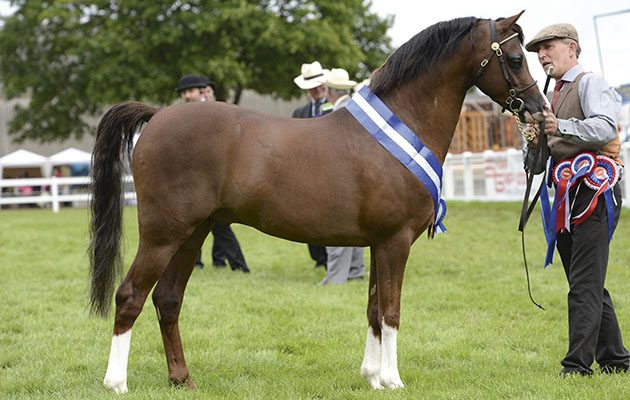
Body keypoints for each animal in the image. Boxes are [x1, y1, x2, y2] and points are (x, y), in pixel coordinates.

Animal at [89, 10, 548, 392]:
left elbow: (373, 308)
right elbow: (391, 311)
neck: (403, 121)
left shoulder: (377, 244)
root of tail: (157, 116)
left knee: (167, 300)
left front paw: (372, 377)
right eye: (513, 58)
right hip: (162, 234)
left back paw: (182, 379)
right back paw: (116, 382)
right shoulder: (395, 241)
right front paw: (393, 380)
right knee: (130, 296)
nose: (539, 109)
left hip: (192, 234)